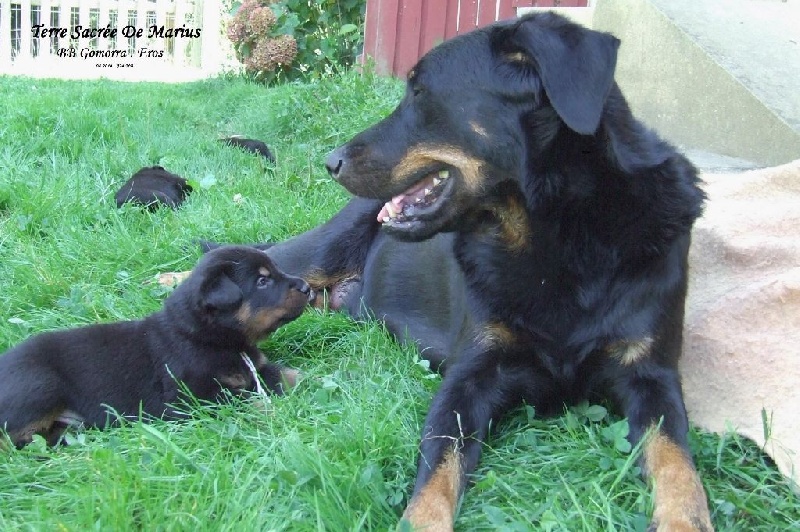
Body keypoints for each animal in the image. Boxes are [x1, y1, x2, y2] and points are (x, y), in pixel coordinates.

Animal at [0, 246, 312, 448]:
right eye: (262, 281)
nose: (307, 287)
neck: (206, 337)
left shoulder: (257, 367)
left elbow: (289, 375)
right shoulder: (189, 398)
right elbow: (240, 398)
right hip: (39, 385)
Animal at [217, 12, 712, 532]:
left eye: (419, 93)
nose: (331, 161)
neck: (555, 239)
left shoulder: (652, 375)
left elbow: (678, 464)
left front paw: (685, 518)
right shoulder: (469, 376)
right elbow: (439, 466)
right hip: (314, 255)